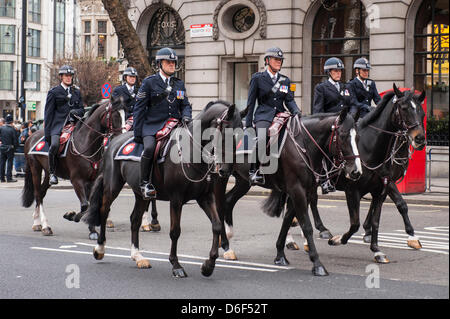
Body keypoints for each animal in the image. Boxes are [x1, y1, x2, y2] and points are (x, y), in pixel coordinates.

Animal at [22, 97, 125, 240]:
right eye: (115, 115)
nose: (121, 137)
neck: (85, 142)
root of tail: (31, 136)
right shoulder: (77, 180)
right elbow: (85, 205)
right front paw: (71, 215)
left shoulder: (93, 180)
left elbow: (91, 205)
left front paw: (92, 230)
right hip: (35, 168)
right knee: (37, 194)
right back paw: (45, 226)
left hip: (48, 172)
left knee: (41, 193)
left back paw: (37, 223)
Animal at [82, 101, 241, 278]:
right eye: (226, 134)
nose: (226, 170)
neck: (190, 151)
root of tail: (113, 142)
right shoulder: (176, 199)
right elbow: (175, 231)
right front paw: (176, 265)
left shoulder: (205, 197)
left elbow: (217, 226)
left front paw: (208, 265)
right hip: (112, 186)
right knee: (104, 211)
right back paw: (100, 248)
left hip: (140, 194)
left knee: (135, 219)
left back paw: (137, 256)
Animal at [211, 105, 362, 276]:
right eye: (342, 136)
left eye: (357, 138)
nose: (356, 171)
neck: (304, 145)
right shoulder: (297, 190)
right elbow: (306, 225)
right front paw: (317, 263)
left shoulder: (304, 190)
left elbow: (288, 219)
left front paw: (280, 255)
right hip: (221, 176)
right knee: (220, 205)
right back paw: (225, 246)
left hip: (243, 181)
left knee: (228, 201)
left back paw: (227, 240)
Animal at [284, 85, 426, 264]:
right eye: (405, 108)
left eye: (422, 112)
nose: (419, 139)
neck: (371, 148)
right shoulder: (353, 190)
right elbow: (356, 223)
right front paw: (338, 239)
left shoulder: (382, 188)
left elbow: (377, 219)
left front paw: (377, 249)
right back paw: (295, 239)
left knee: (308, 201)